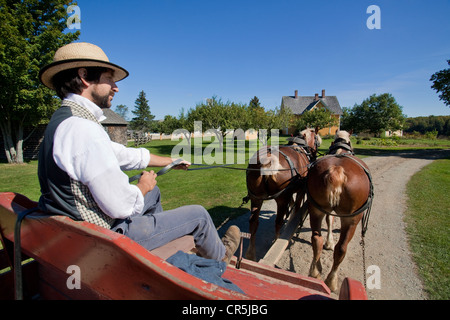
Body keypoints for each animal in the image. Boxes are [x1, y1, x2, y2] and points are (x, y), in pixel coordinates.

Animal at [244, 127, 322, 260]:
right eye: (317, 140)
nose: (315, 156)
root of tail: (266, 161)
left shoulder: (288, 192)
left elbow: (291, 203)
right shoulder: (300, 191)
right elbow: (296, 208)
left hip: (256, 198)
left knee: (253, 222)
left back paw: (250, 254)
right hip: (280, 199)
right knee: (278, 221)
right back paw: (276, 241)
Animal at [306, 131, 372, 292]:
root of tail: (336, 171)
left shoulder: (325, 209)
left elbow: (329, 220)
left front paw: (328, 242)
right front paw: (330, 243)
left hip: (315, 209)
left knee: (316, 239)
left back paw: (315, 272)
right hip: (352, 218)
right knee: (341, 248)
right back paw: (331, 280)